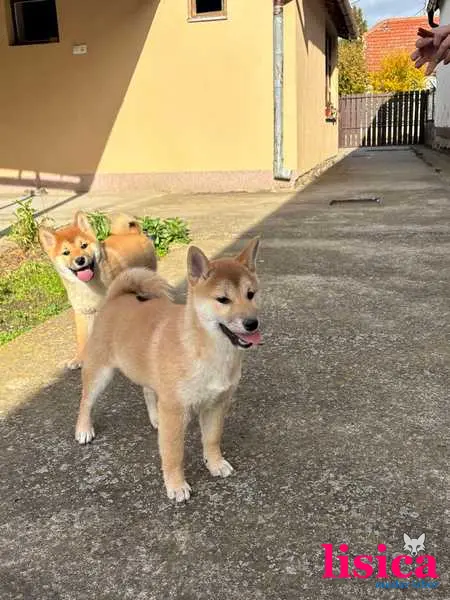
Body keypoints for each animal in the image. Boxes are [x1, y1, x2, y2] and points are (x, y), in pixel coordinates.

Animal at [39, 211, 157, 369]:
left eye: (84, 245)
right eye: (66, 252)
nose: (80, 260)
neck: (89, 286)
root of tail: (134, 233)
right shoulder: (83, 312)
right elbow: (82, 338)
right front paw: (79, 358)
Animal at [75, 238, 262, 502]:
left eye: (251, 294)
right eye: (223, 299)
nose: (252, 323)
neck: (205, 350)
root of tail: (116, 298)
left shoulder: (216, 404)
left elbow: (212, 439)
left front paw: (215, 463)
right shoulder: (175, 411)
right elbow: (174, 454)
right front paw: (176, 485)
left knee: (147, 391)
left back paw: (155, 418)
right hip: (99, 373)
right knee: (86, 401)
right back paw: (83, 429)